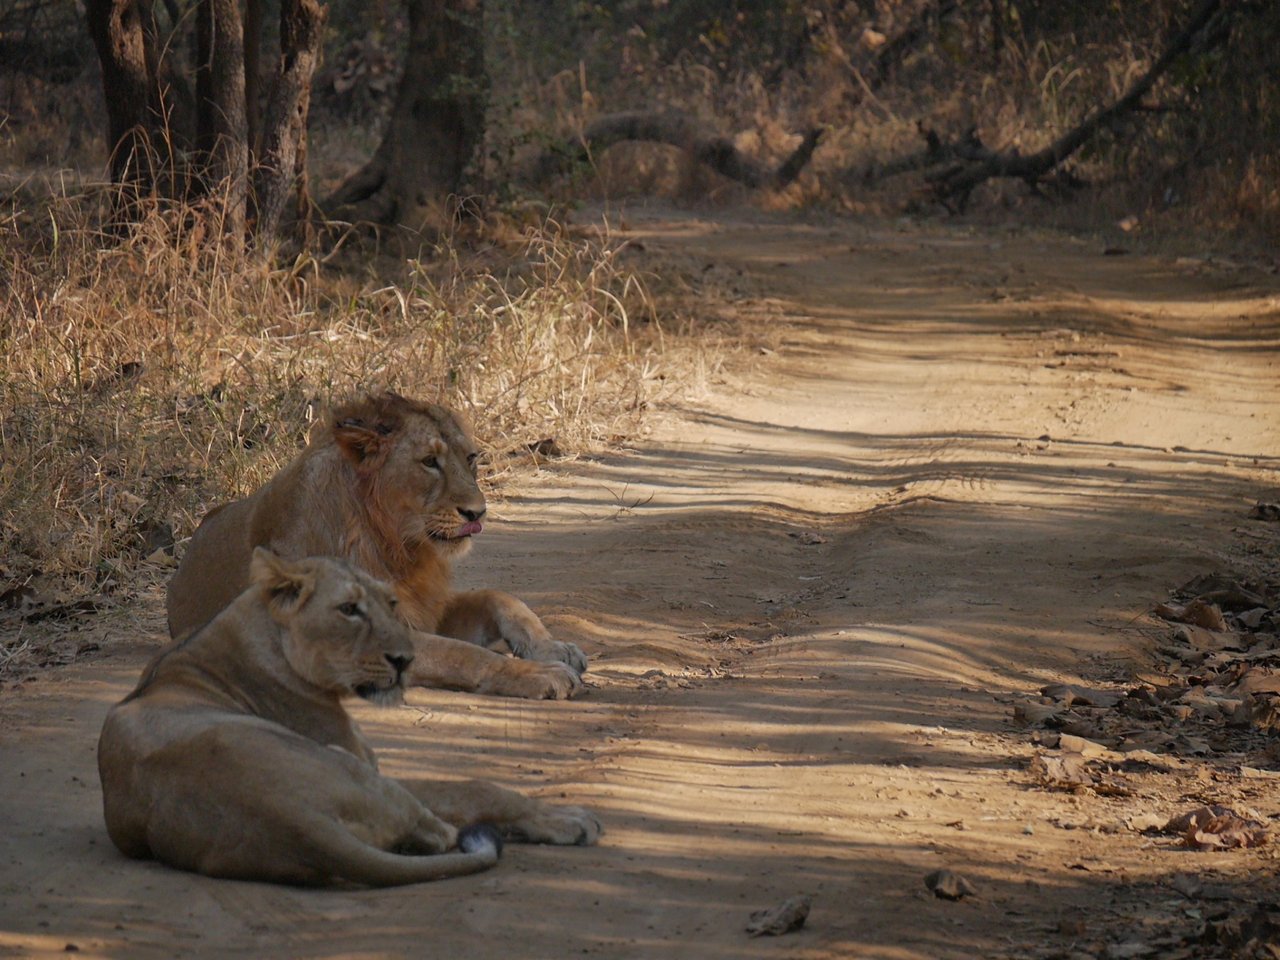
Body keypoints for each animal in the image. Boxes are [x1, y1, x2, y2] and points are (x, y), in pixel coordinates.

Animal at [99, 547, 599, 885]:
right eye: (349, 610)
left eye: (390, 604)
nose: (403, 658)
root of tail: (291, 818)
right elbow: (474, 786)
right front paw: (568, 818)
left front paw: (552, 650)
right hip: (355, 769)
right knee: (450, 824)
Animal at [168, 394, 586, 701]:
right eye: (429, 462)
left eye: (470, 458)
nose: (477, 512)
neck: (398, 546)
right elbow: (466, 654)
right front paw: (541, 673)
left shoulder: (425, 608)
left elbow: (499, 598)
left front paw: (555, 647)